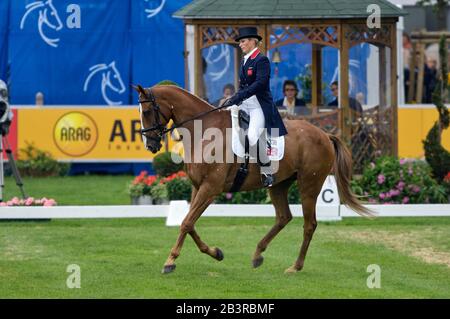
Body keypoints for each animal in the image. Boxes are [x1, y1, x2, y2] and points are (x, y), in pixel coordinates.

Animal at [134, 85, 372, 276]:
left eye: (147, 111)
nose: (150, 145)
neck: (204, 131)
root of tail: (324, 135)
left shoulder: (210, 189)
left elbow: (186, 223)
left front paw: (170, 261)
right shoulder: (197, 187)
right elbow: (189, 223)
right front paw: (215, 253)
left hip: (309, 185)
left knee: (309, 224)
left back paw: (295, 266)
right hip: (278, 185)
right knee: (283, 217)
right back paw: (258, 254)